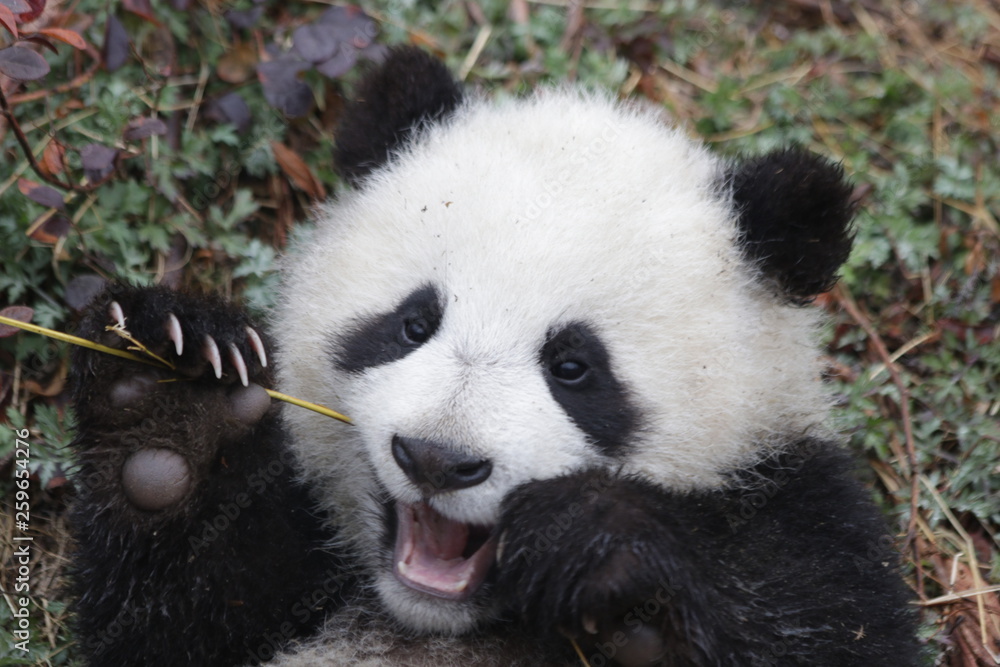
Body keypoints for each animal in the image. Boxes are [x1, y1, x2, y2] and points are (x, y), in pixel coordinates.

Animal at [68, 47, 917, 666]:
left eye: (574, 367)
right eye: (413, 323)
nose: (437, 459)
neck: (443, 618)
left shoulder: (798, 503)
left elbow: (828, 627)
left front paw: (606, 554)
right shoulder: (286, 567)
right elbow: (161, 628)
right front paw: (172, 404)